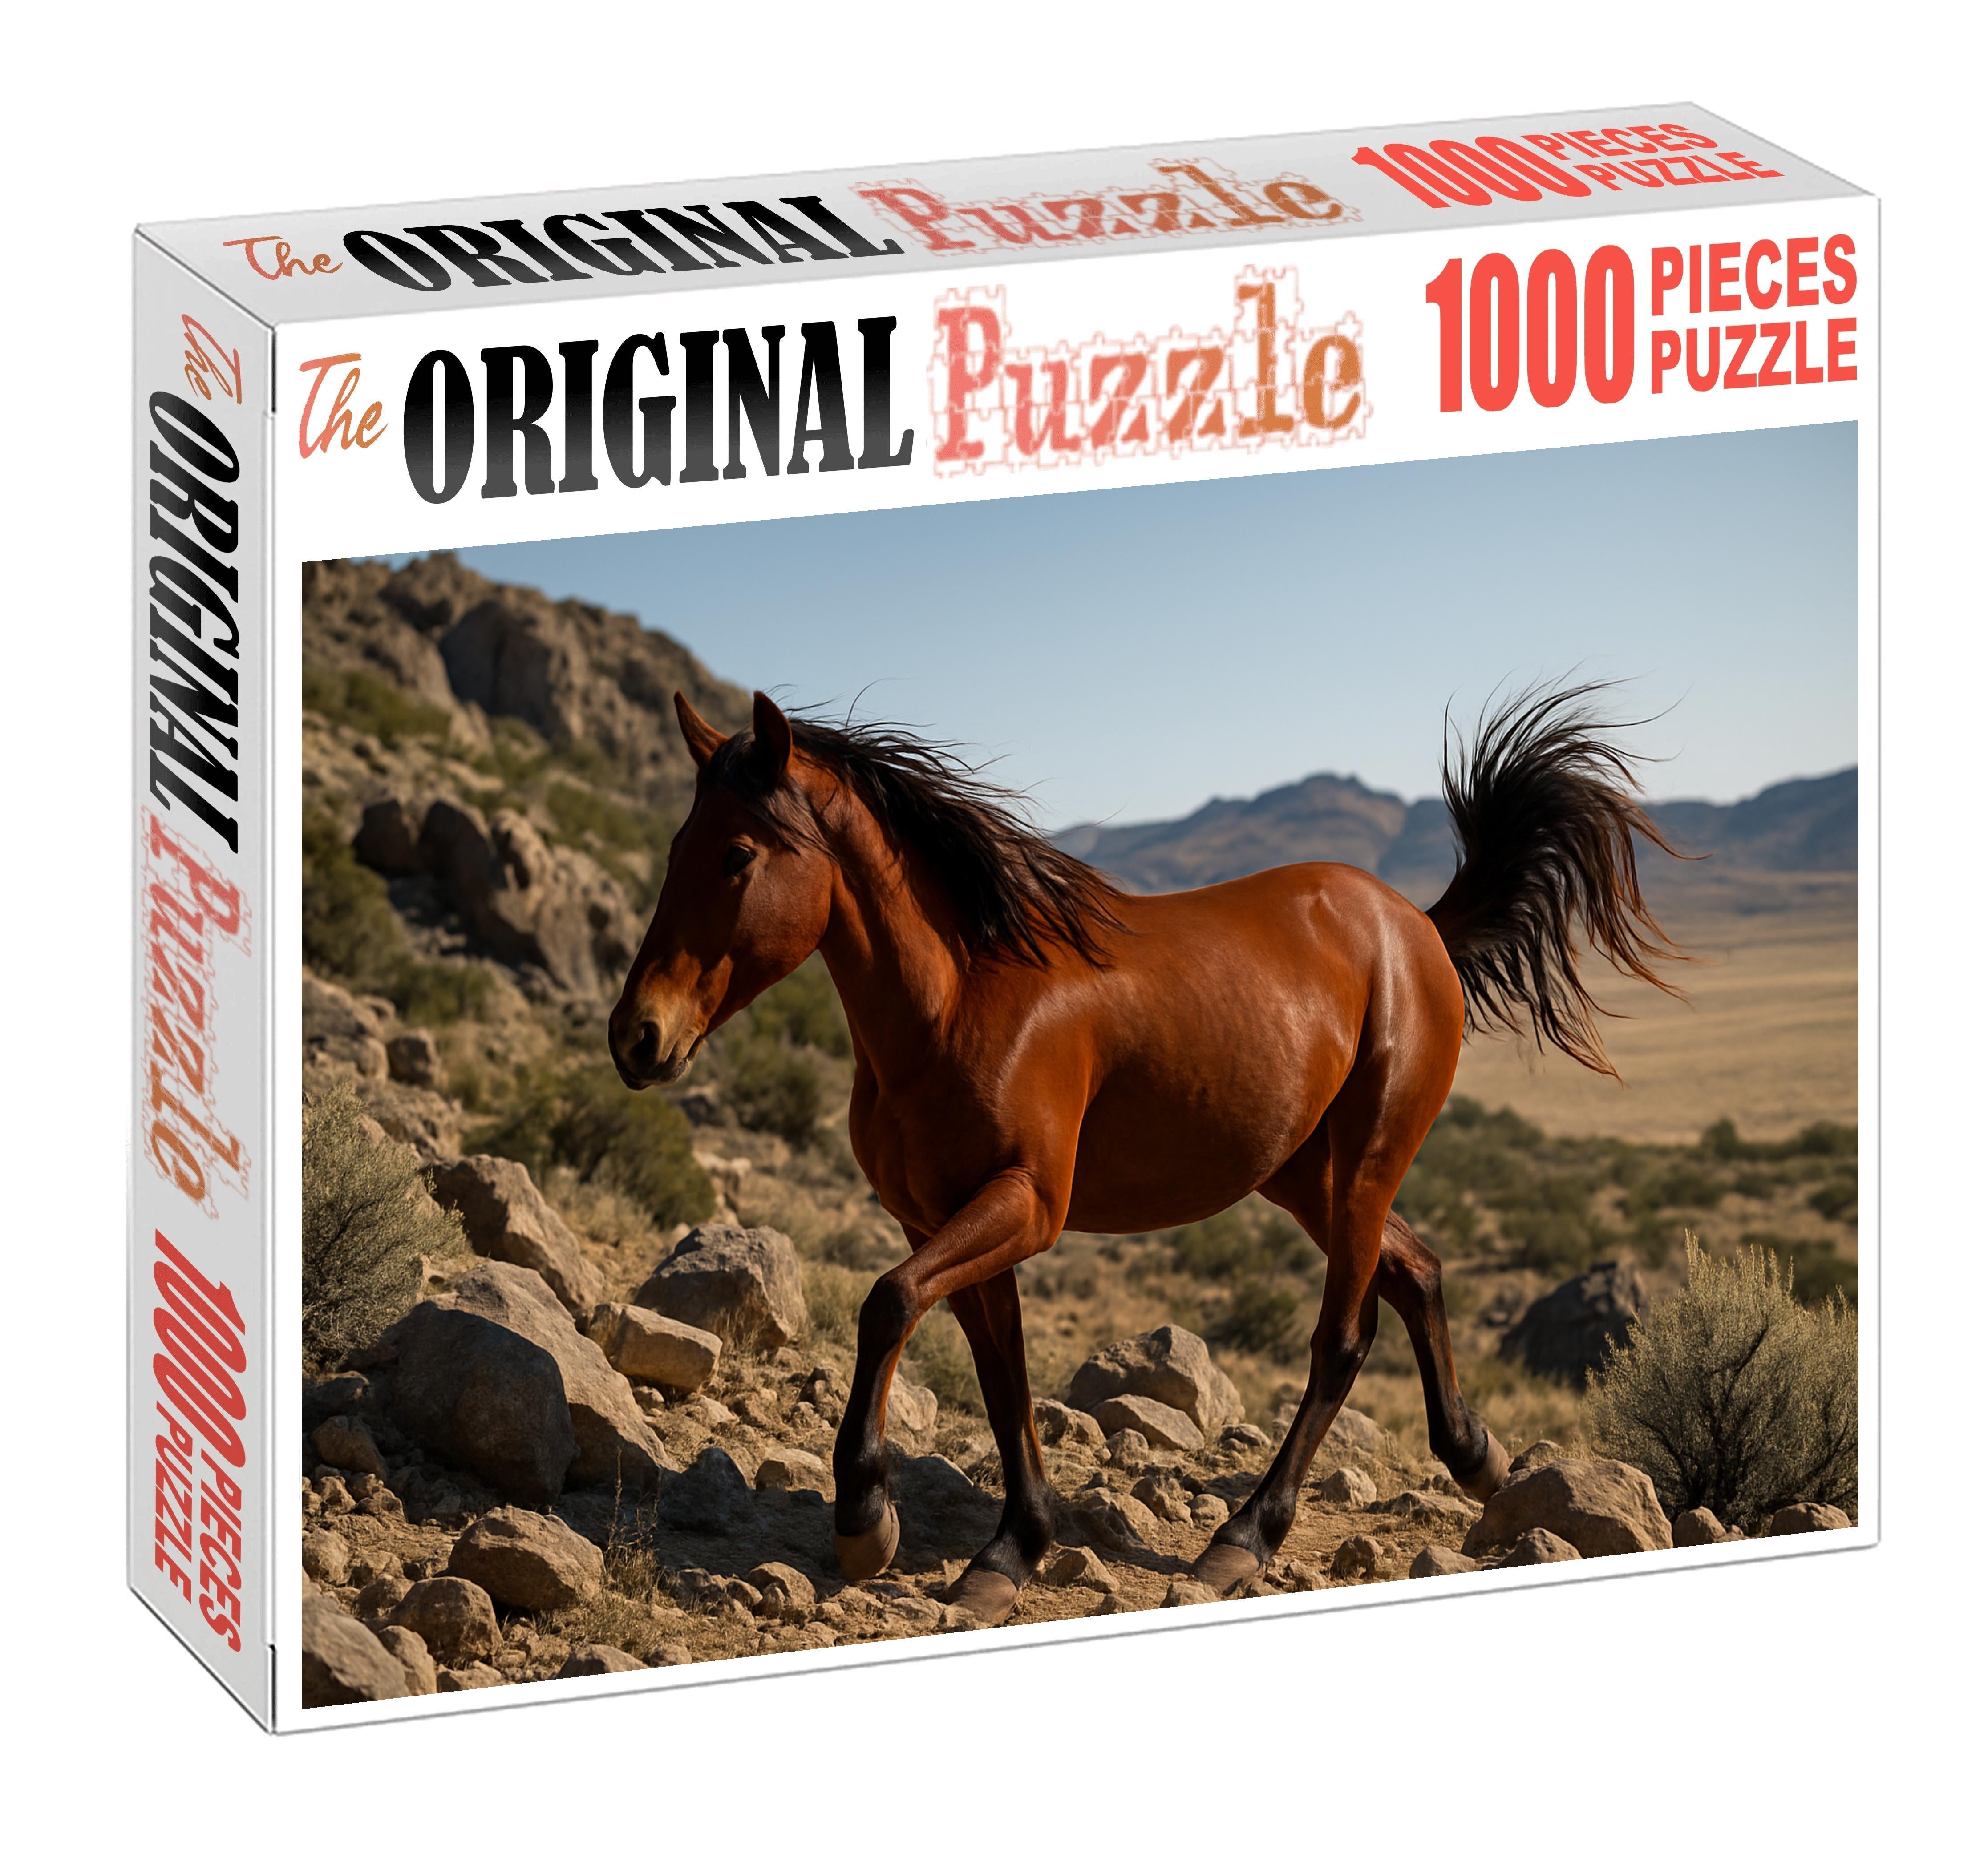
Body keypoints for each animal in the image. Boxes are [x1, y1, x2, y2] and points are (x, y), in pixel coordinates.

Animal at [609, 683, 1682, 1622]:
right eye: (675, 848)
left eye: (737, 855)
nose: (636, 1037)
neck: (961, 1001)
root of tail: (1416, 922)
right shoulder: (943, 1218)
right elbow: (998, 1371)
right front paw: (1007, 1554)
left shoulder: (1022, 1205)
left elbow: (886, 1306)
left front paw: (867, 1520)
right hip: (1306, 1174)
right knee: (1415, 1268)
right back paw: (1477, 1458)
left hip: (1368, 1159)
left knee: (1343, 1339)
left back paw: (1241, 1540)